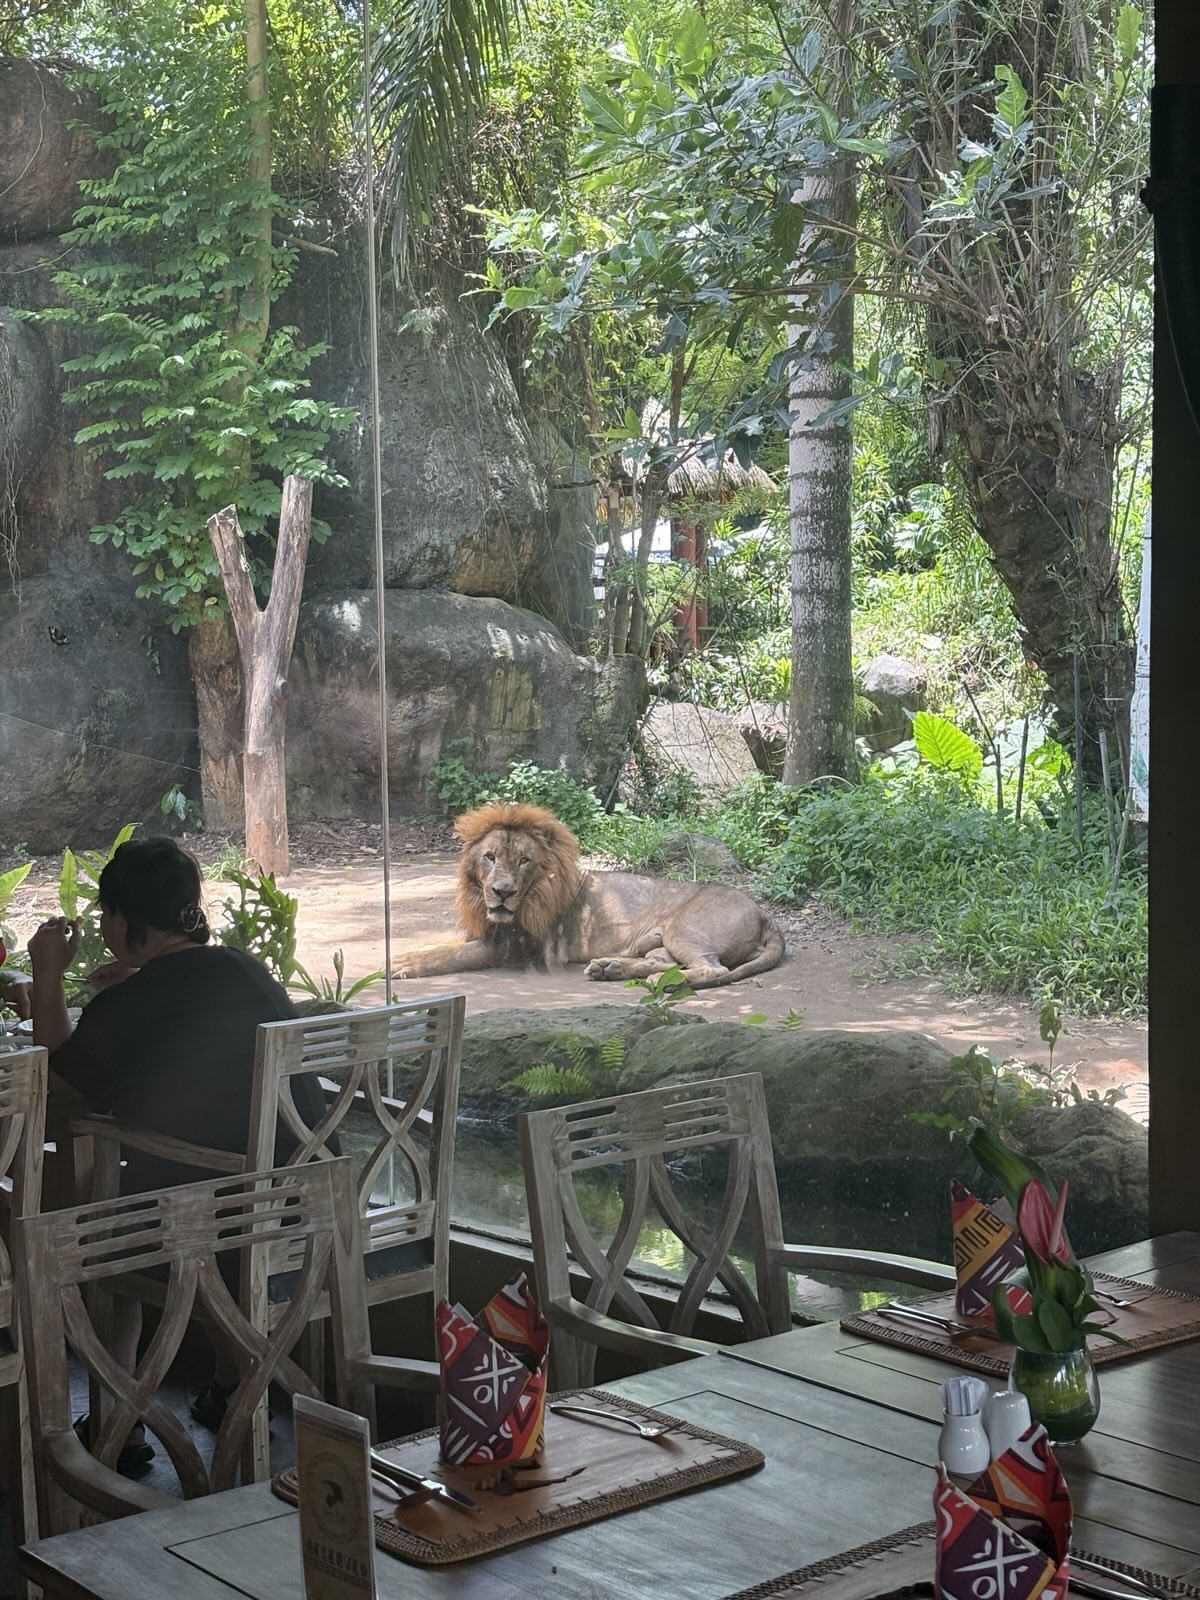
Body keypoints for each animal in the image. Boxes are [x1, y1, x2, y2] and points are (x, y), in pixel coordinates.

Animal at [392, 802, 785, 990]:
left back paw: (662, 983)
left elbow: (451, 957)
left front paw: (401, 964)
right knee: (665, 961)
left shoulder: (514, 946)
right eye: (489, 857)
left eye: (523, 861)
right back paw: (609, 968)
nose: (502, 892)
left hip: (683, 929)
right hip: (660, 941)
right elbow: (442, 947)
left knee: (712, 968)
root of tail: (765, 914)